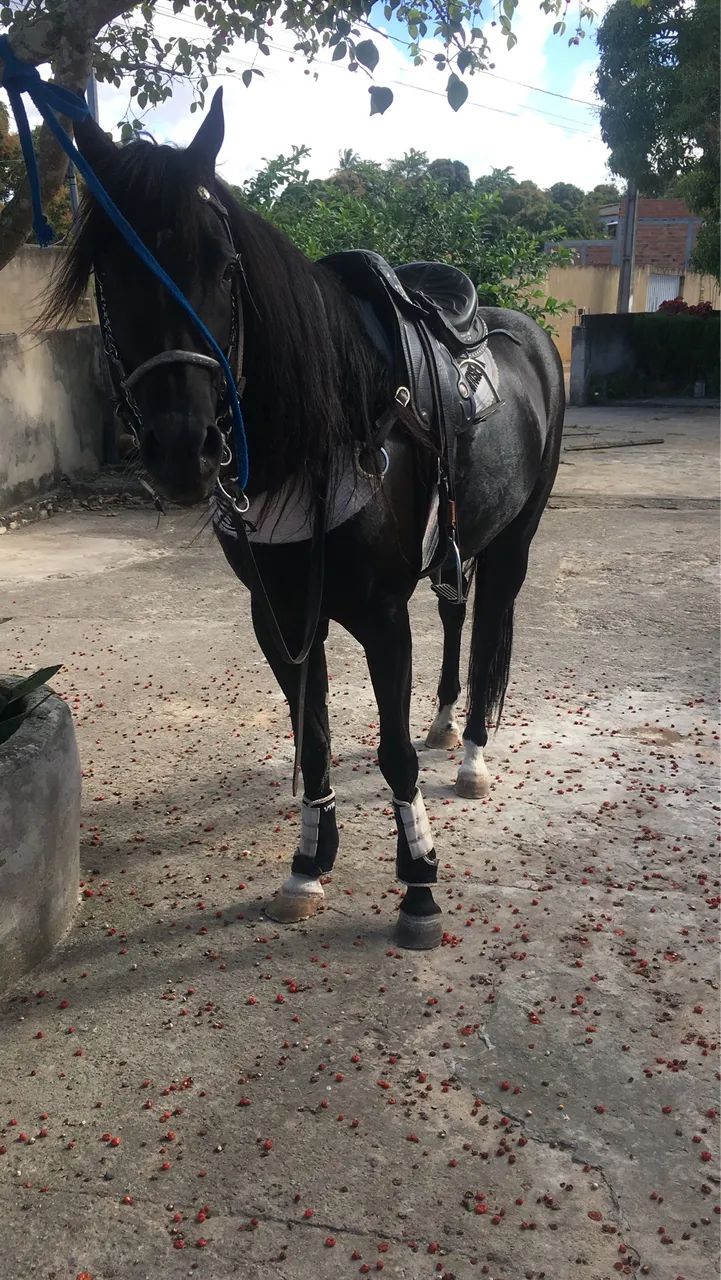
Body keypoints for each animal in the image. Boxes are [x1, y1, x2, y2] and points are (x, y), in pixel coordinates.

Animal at [44, 90, 564, 950]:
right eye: (109, 274)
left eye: (224, 268)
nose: (182, 449)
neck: (323, 430)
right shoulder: (280, 613)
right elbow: (312, 739)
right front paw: (308, 863)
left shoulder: (381, 615)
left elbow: (389, 754)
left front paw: (418, 886)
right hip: (455, 547)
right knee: (456, 616)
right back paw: (444, 723)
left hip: (512, 544)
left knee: (490, 625)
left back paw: (471, 756)